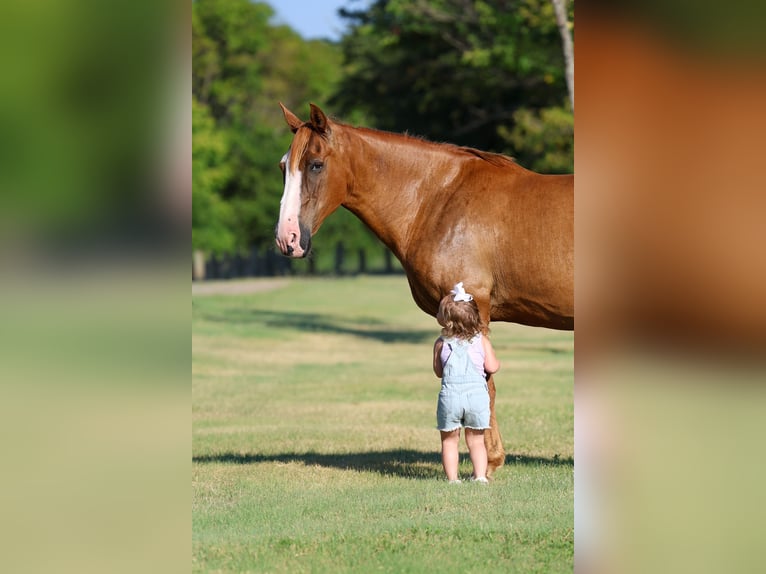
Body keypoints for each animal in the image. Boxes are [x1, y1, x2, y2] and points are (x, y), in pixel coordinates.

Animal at [275, 103, 573, 476]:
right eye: (283, 166)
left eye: (315, 164)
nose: (287, 239)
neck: (438, 199)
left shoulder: (475, 309)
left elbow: (485, 383)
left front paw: (489, 462)